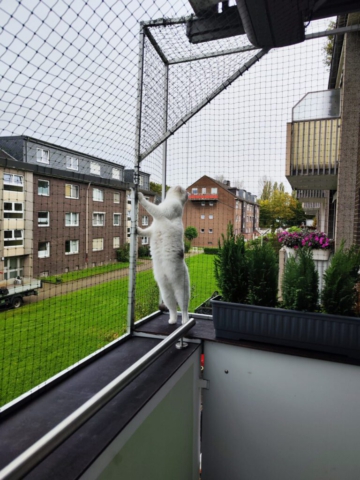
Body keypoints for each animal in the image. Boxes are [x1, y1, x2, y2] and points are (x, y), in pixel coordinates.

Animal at [136, 186, 190, 324]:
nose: (188, 194)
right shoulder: (150, 231)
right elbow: (144, 231)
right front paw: (136, 230)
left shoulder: (162, 211)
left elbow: (150, 206)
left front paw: (140, 196)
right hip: (166, 293)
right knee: (172, 308)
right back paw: (172, 320)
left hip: (181, 292)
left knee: (184, 308)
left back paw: (185, 321)